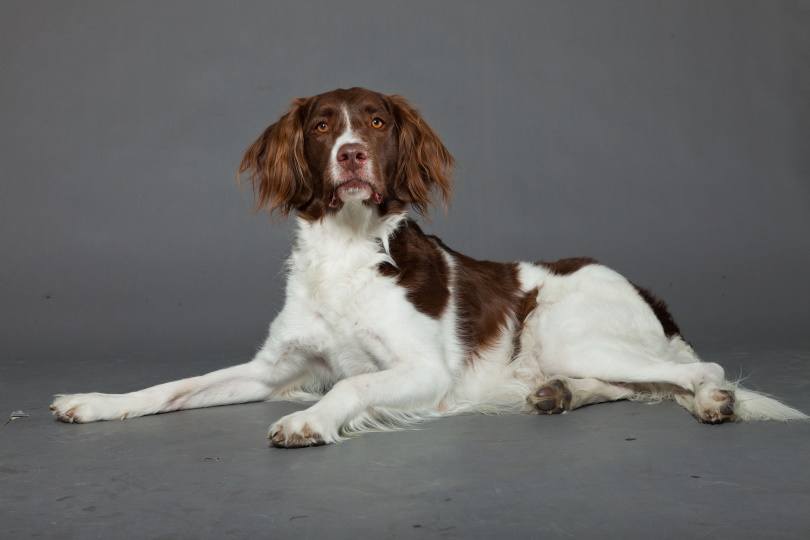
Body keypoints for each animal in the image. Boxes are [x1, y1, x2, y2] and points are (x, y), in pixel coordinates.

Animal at [49, 86, 800, 446]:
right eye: (322, 126)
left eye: (378, 122)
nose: (352, 153)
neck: (348, 252)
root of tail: (647, 291)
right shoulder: (273, 369)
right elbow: (173, 387)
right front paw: (96, 401)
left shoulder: (425, 371)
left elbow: (351, 385)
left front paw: (309, 422)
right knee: (633, 385)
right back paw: (558, 395)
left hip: (572, 328)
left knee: (696, 369)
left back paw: (715, 401)